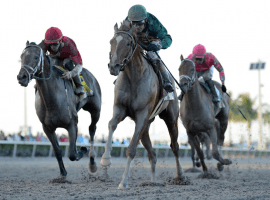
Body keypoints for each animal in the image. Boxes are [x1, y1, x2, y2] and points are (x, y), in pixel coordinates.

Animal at [17, 40, 101, 178]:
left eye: (36, 57)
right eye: (21, 57)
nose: (21, 77)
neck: (52, 99)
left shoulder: (72, 123)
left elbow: (72, 153)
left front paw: (83, 149)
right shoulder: (47, 128)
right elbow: (57, 151)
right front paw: (63, 173)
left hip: (95, 110)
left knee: (92, 130)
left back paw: (92, 163)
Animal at [100, 21, 187, 189]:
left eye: (128, 43)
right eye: (111, 41)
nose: (113, 66)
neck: (133, 77)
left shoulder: (142, 114)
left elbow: (131, 149)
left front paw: (123, 182)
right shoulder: (120, 108)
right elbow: (111, 124)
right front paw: (105, 159)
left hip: (170, 118)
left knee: (175, 146)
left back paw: (180, 176)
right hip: (147, 125)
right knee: (152, 154)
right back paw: (152, 182)